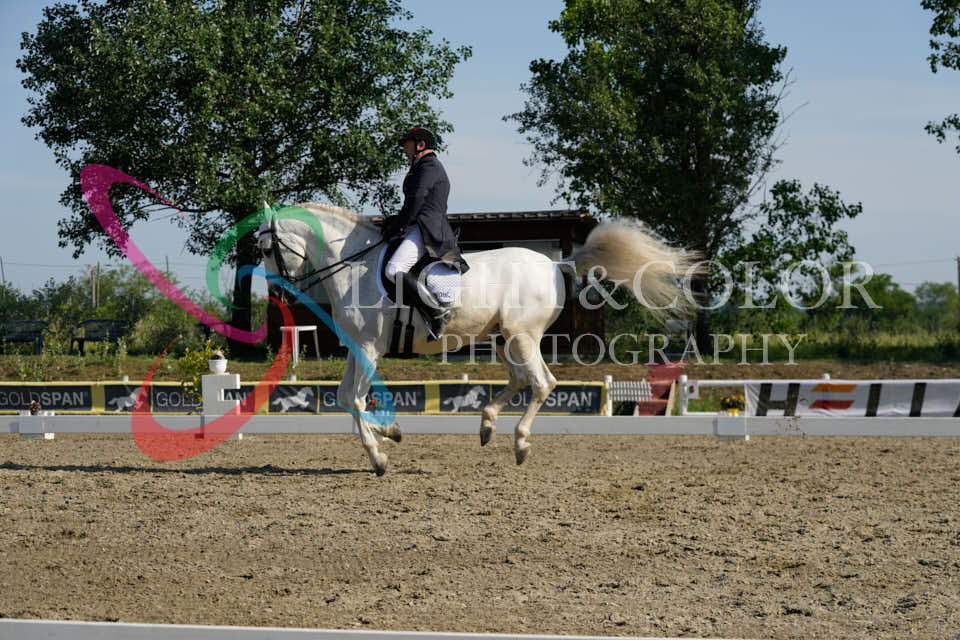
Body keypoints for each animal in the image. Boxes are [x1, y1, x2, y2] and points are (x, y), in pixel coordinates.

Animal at [257, 203, 698, 475]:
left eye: (265, 248)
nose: (277, 294)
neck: (354, 267)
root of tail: (556, 263)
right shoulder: (356, 347)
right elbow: (347, 396)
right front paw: (390, 433)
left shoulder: (367, 348)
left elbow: (355, 398)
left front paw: (378, 456)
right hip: (503, 338)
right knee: (520, 380)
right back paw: (486, 425)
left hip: (522, 336)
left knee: (542, 382)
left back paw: (520, 443)